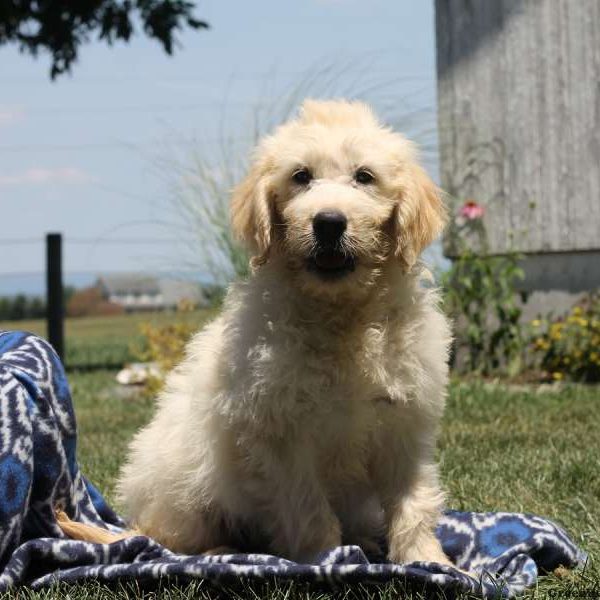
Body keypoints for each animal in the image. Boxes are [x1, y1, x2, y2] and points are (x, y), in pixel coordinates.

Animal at [115, 99, 452, 568]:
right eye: (301, 176)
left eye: (364, 176)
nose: (328, 223)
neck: (341, 314)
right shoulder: (280, 434)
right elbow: (307, 507)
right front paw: (327, 556)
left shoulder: (405, 422)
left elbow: (413, 500)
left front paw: (429, 560)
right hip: (180, 478)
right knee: (168, 537)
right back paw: (220, 549)